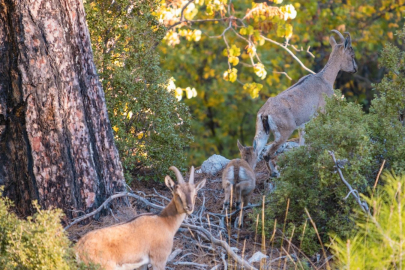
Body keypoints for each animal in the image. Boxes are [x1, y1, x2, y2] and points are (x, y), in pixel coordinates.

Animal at [74, 167, 205, 270]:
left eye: (195, 194)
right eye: (177, 194)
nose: (189, 208)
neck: (164, 222)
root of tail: (78, 248)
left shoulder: (143, 263)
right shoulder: (159, 258)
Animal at [252, 30, 356, 177]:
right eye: (352, 55)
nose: (355, 69)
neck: (324, 79)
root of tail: (265, 113)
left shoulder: (303, 124)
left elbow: (302, 143)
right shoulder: (322, 112)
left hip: (262, 133)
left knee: (257, 152)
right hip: (284, 132)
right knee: (267, 154)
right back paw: (275, 173)